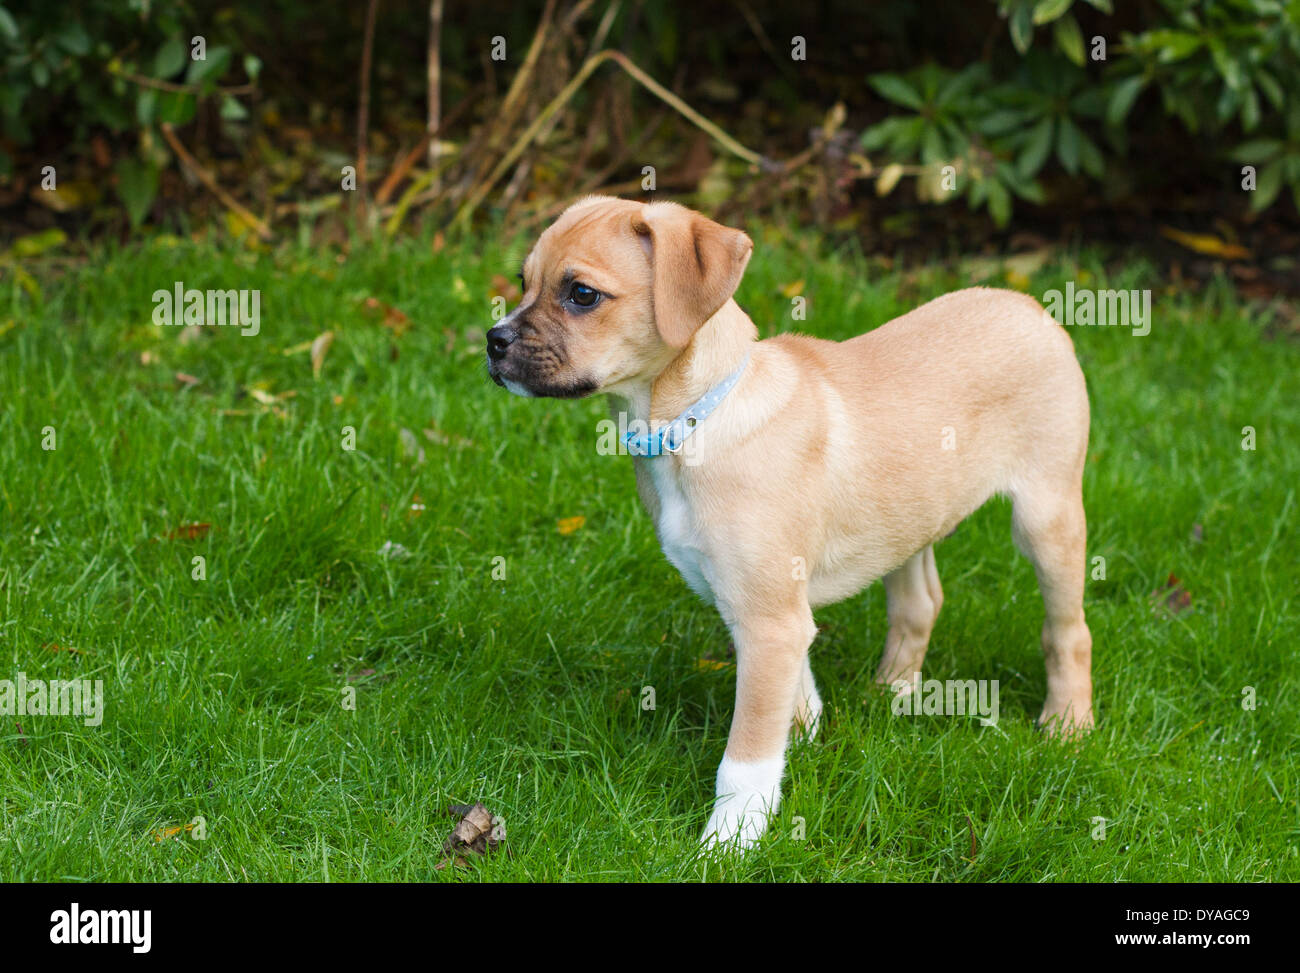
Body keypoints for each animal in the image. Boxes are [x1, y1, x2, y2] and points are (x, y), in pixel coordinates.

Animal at [483, 193, 1092, 848]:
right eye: (523, 281)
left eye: (582, 294)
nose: (492, 342)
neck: (694, 422)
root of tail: (1028, 306)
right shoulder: (763, 609)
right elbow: (791, 696)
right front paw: (804, 740)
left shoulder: (769, 619)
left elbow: (746, 752)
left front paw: (729, 841)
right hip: (910, 522)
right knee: (921, 602)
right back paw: (892, 691)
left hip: (1047, 515)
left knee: (1068, 631)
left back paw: (1068, 726)